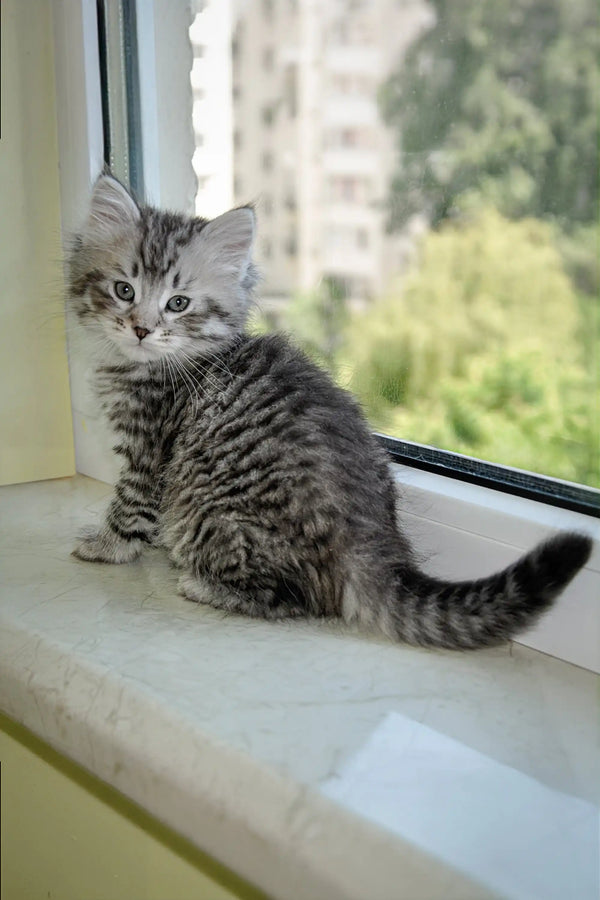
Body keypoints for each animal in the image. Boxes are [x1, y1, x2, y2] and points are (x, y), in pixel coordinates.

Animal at [69, 176, 592, 652]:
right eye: (123, 290)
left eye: (178, 303)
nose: (140, 329)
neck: (153, 364)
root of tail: (368, 542)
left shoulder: (148, 449)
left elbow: (129, 505)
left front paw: (107, 546)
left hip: (211, 516)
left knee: (294, 598)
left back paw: (203, 585)